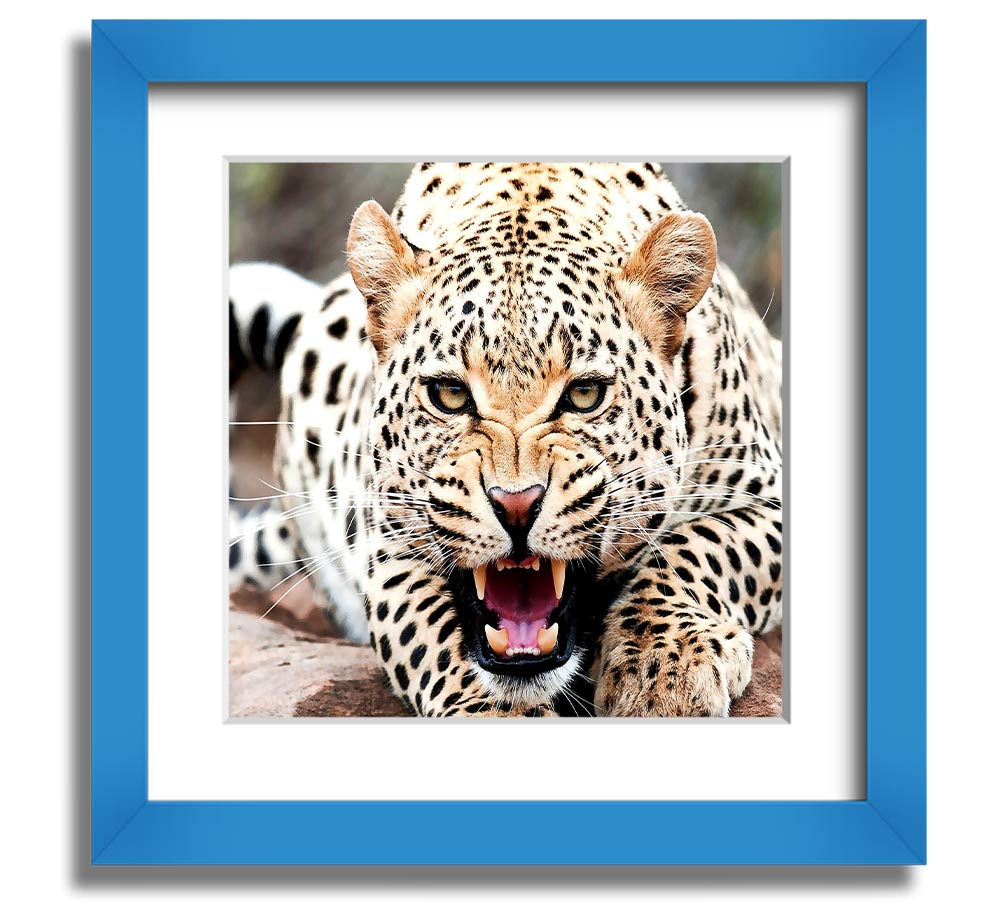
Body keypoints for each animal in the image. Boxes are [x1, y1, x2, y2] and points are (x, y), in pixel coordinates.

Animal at [229, 161, 783, 717]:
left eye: (585, 394)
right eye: (450, 395)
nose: (516, 505)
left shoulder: (768, 495)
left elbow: (696, 548)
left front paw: (663, 665)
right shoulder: (387, 547)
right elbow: (436, 639)